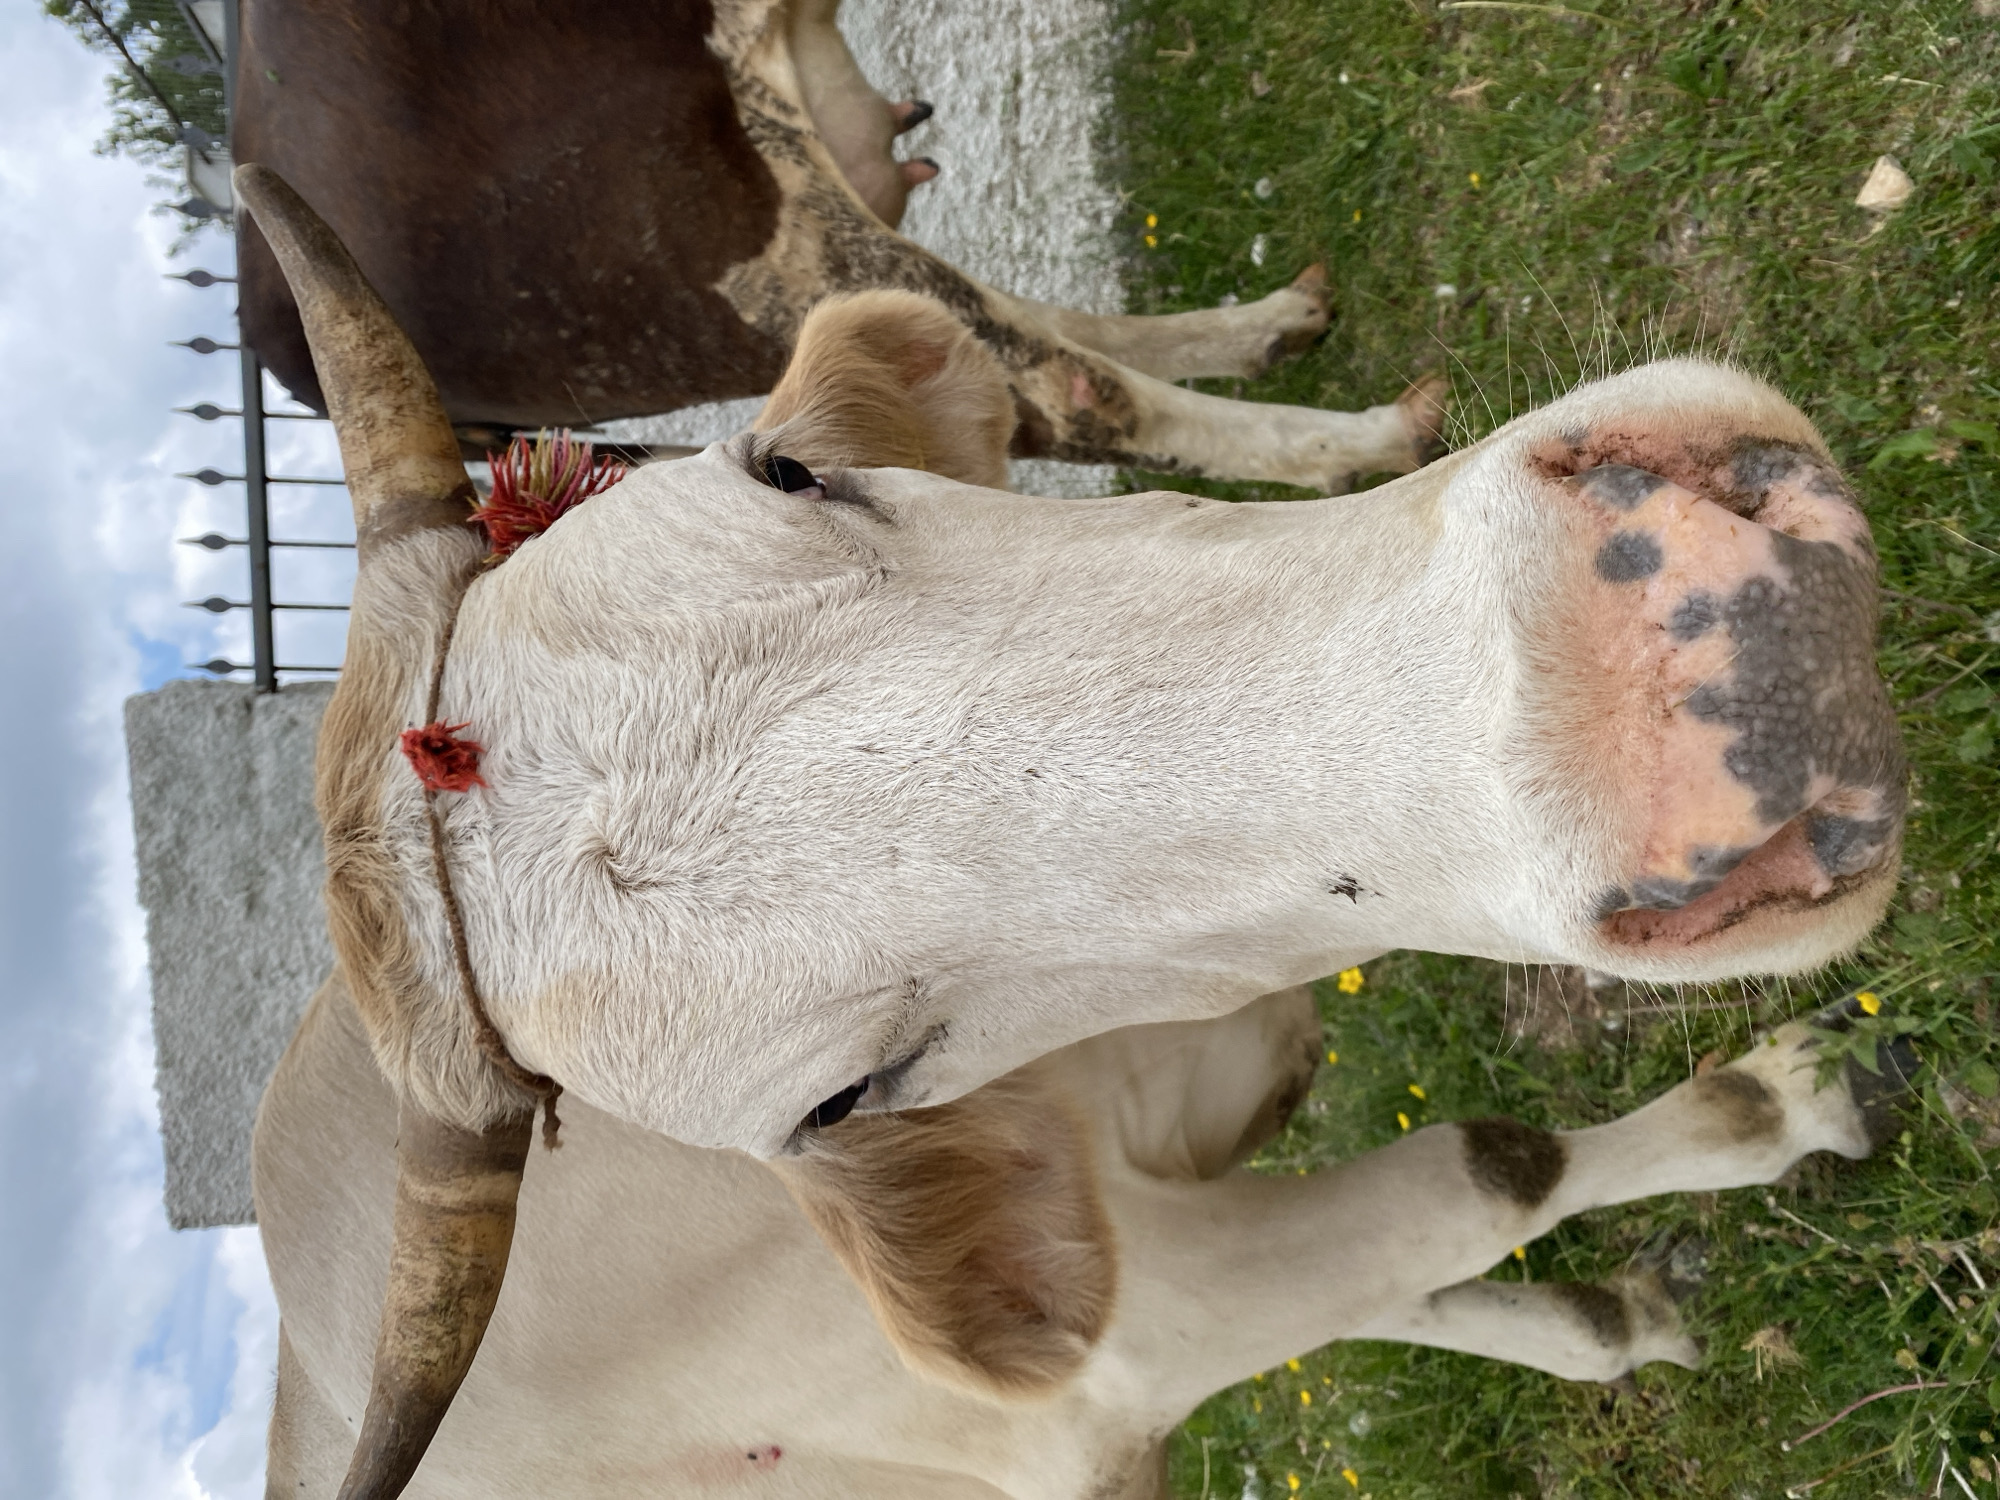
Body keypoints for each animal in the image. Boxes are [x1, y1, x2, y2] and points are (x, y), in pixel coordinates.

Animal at [234, 156, 1905, 1499]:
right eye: (846, 1095)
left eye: (794, 471)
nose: (1642, 684)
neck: (1136, 1074)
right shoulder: (1143, 1341)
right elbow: (1491, 1169)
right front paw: (1763, 1128)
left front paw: (1622, 1302)